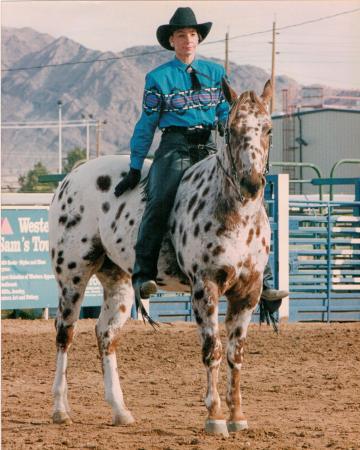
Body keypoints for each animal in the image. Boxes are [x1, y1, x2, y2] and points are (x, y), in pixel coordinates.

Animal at [48, 78, 272, 436]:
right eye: (231, 129)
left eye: (267, 128)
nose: (251, 183)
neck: (236, 215)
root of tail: (72, 177)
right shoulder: (205, 289)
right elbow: (212, 350)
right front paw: (215, 418)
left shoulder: (247, 294)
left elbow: (235, 354)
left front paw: (237, 417)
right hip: (72, 276)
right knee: (64, 334)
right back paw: (59, 409)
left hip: (119, 281)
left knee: (105, 335)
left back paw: (120, 411)